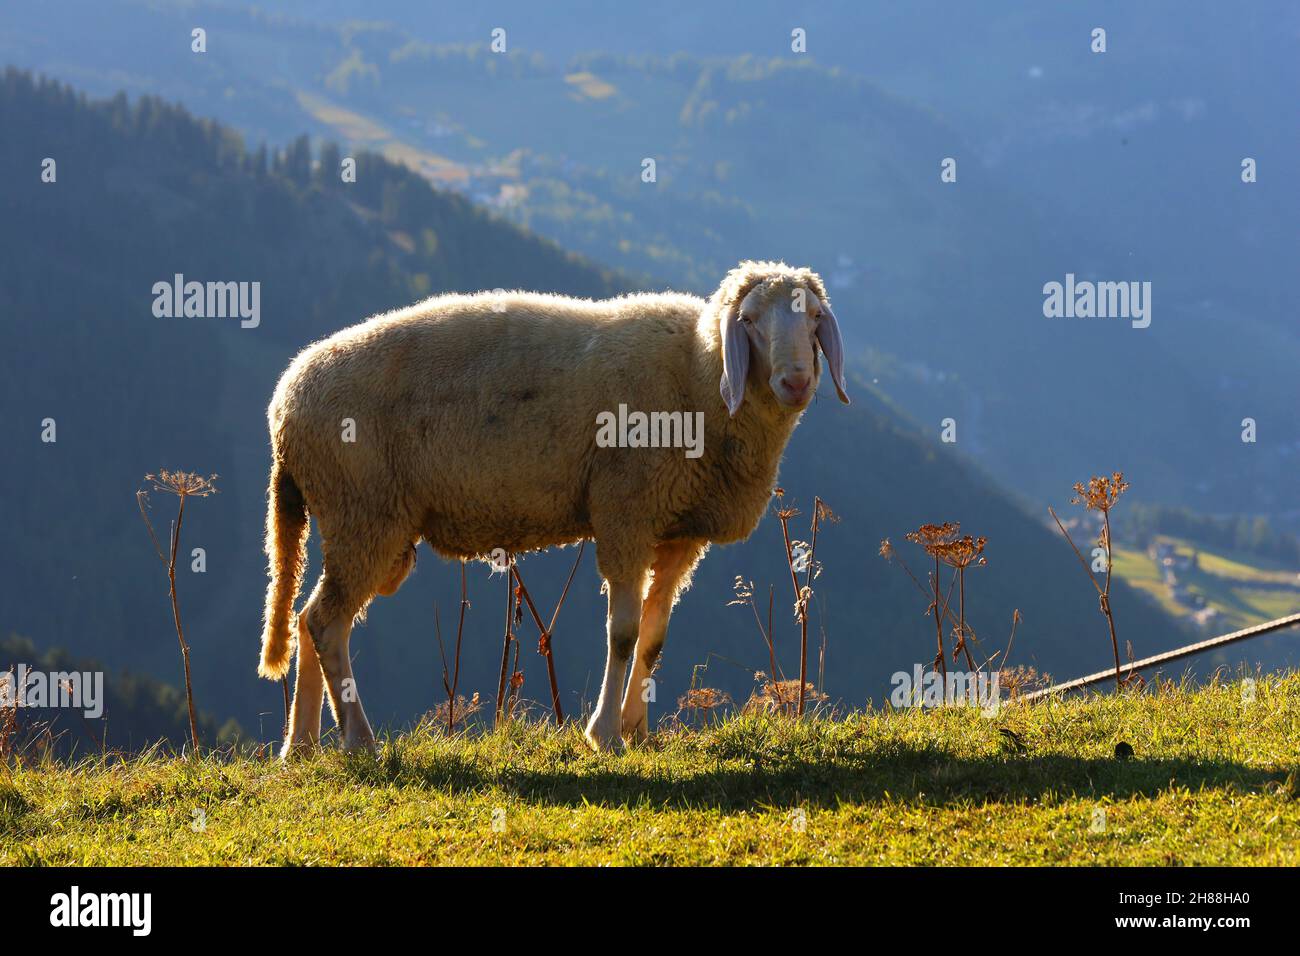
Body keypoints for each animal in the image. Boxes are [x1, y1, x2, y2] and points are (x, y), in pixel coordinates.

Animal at [261, 261, 852, 754]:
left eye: (814, 317)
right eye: (748, 321)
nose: (796, 382)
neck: (700, 373)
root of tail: (285, 403)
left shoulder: (679, 531)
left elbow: (655, 637)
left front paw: (638, 729)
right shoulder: (625, 512)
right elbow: (624, 633)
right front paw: (605, 734)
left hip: (355, 519)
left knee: (309, 618)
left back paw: (302, 746)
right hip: (363, 513)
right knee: (326, 620)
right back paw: (358, 740)